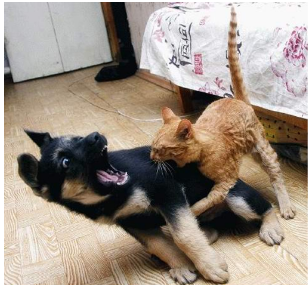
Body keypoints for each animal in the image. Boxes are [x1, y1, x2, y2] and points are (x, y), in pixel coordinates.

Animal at [18, 130, 284, 282]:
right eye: (65, 161)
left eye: (77, 138)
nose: (95, 135)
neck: (112, 197)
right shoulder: (135, 223)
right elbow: (161, 245)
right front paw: (181, 265)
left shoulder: (167, 192)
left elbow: (184, 236)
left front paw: (209, 266)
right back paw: (207, 234)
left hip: (236, 198)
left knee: (267, 206)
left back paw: (271, 227)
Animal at [152, 6, 296, 220]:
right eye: (152, 146)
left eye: (160, 149)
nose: (151, 157)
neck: (201, 153)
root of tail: (237, 99)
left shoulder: (225, 183)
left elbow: (205, 202)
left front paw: (188, 215)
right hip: (255, 152)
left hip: (263, 151)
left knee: (276, 175)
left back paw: (285, 205)